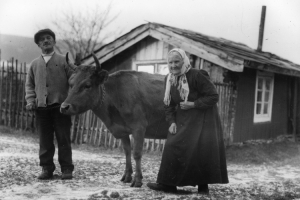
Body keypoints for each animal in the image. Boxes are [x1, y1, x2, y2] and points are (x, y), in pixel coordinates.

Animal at [60, 53, 169, 188]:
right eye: (70, 83)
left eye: (87, 85)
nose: (64, 107)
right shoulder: (122, 130)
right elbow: (127, 151)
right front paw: (127, 176)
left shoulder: (139, 128)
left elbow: (137, 153)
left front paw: (137, 180)